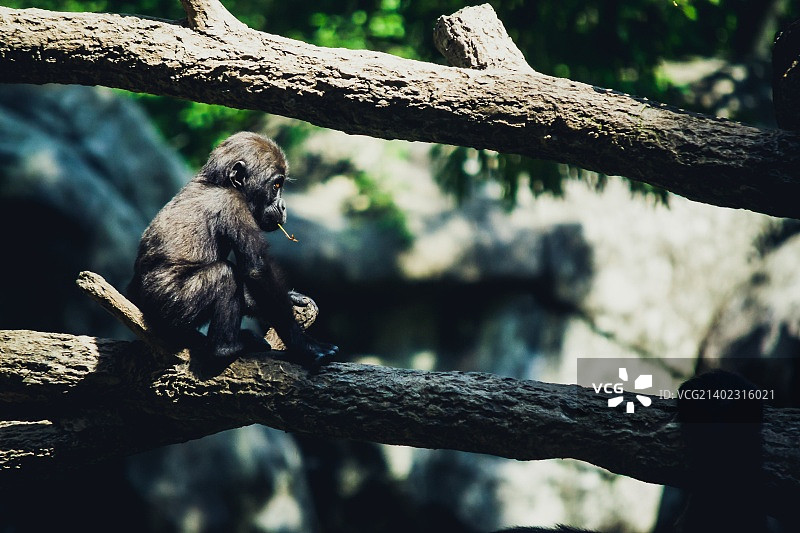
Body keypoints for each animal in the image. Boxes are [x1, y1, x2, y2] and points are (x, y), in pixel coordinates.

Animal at [127, 131, 338, 368]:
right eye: (276, 186)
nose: (284, 206)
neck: (218, 182)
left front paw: (290, 298)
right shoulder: (233, 204)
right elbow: (257, 270)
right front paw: (304, 345)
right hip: (167, 305)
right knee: (224, 275)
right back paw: (225, 348)